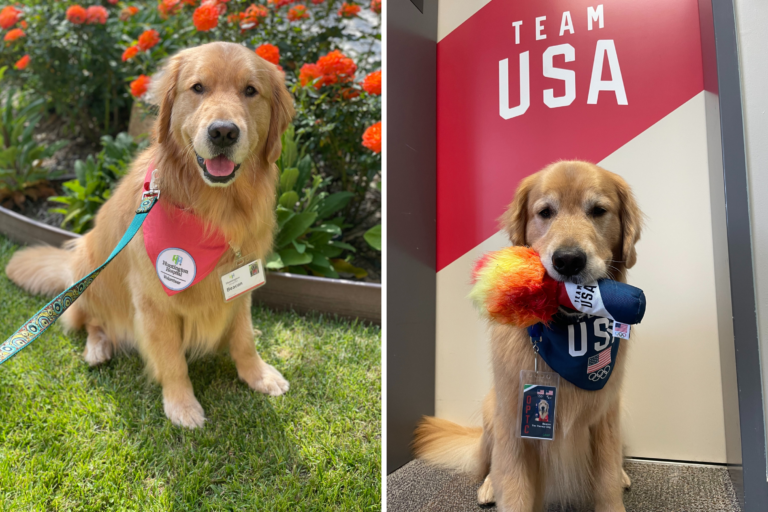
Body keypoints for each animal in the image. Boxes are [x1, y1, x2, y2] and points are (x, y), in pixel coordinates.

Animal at [6, 43, 294, 428]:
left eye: (251, 90)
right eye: (197, 87)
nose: (223, 132)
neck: (214, 211)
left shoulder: (241, 284)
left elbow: (243, 336)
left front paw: (258, 374)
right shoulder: (153, 301)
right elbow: (171, 359)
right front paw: (182, 404)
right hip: (88, 267)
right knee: (89, 319)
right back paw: (98, 347)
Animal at [414, 162, 640, 512]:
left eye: (599, 210)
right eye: (545, 212)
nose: (568, 260)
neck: (565, 336)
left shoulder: (605, 418)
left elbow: (606, 481)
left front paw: (613, 486)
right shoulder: (515, 425)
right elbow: (514, 487)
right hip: (492, 410)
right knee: (491, 464)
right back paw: (489, 486)